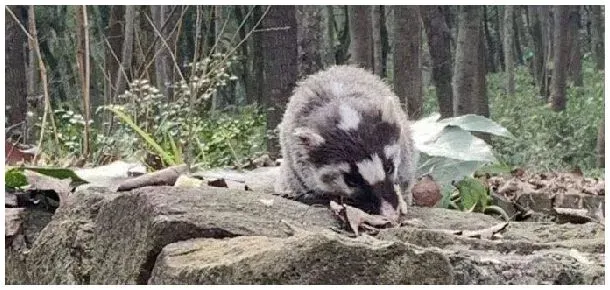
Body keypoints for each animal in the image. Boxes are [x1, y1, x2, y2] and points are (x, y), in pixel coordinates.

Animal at [274, 65, 414, 220]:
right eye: (351, 181)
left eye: (389, 167)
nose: (390, 214)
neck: (341, 104)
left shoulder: (405, 149)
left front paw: (403, 198)